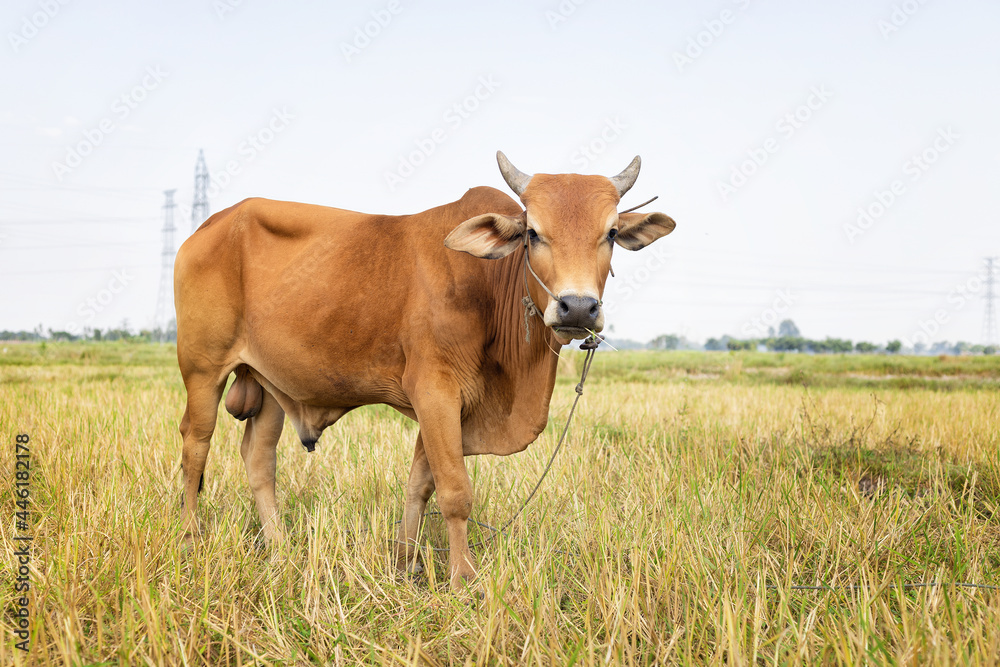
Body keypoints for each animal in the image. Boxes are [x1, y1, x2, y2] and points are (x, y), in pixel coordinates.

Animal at [176, 153, 676, 588]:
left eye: (610, 232)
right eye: (533, 233)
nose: (578, 307)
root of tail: (208, 226)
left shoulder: (449, 405)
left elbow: (420, 483)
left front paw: (406, 562)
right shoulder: (435, 391)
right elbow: (455, 491)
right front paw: (464, 577)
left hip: (270, 383)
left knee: (259, 459)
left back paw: (279, 547)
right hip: (202, 369)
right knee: (195, 447)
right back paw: (191, 537)